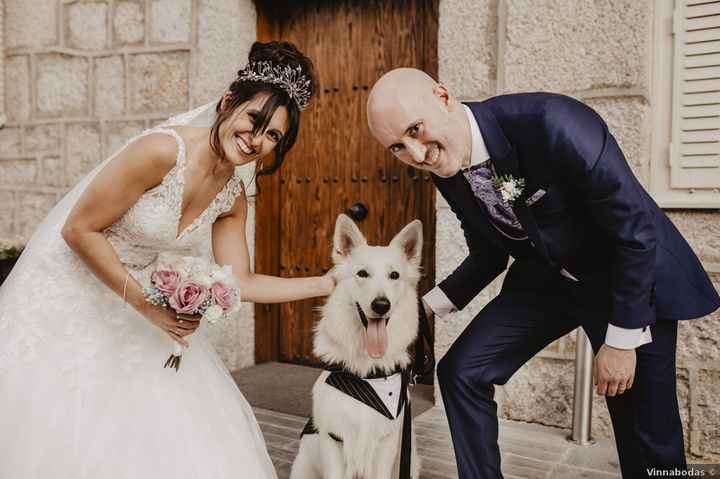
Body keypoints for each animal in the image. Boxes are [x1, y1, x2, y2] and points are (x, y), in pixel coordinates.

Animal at [288, 217, 422, 479]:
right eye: (362, 273)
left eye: (394, 275)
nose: (381, 305)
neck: (367, 375)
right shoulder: (334, 438)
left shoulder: (386, 442)